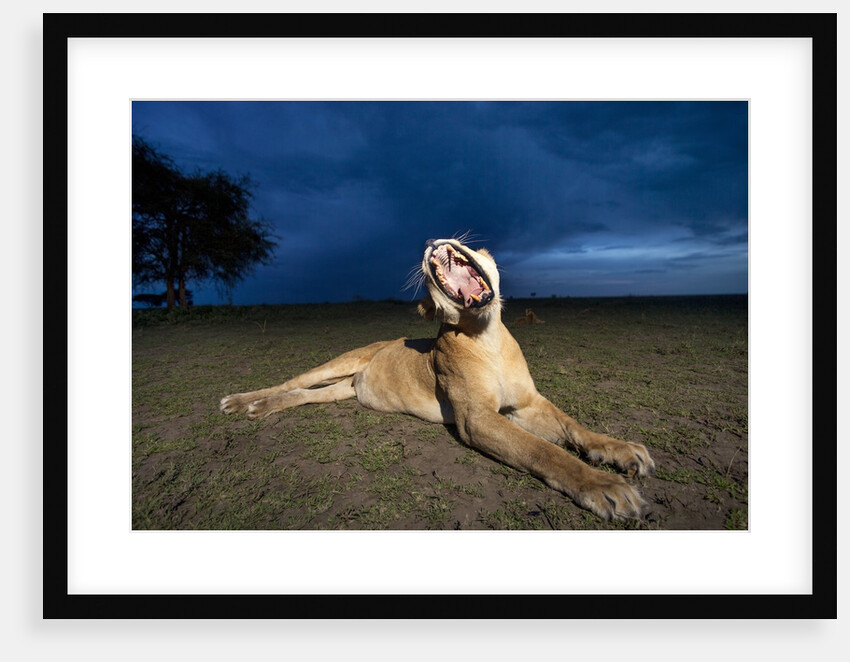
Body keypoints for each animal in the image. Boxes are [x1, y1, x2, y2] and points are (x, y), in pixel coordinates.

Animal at [220, 238, 654, 520]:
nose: (431, 240)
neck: (488, 335)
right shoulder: (476, 419)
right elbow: (544, 451)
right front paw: (605, 488)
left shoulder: (527, 404)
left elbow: (574, 427)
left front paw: (624, 451)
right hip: (339, 361)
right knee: (290, 382)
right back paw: (242, 401)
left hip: (340, 390)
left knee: (302, 395)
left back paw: (261, 408)